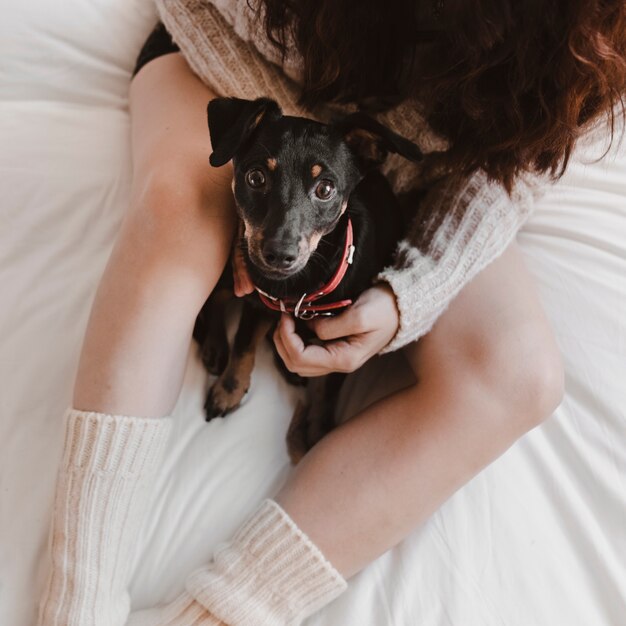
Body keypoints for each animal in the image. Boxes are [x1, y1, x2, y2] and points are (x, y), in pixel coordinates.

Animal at [193, 95, 422, 460]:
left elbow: (330, 384)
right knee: (216, 296)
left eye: (325, 188)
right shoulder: (259, 300)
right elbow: (243, 345)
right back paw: (215, 346)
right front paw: (228, 391)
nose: (279, 254)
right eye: (255, 177)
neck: (298, 288)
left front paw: (319, 428)